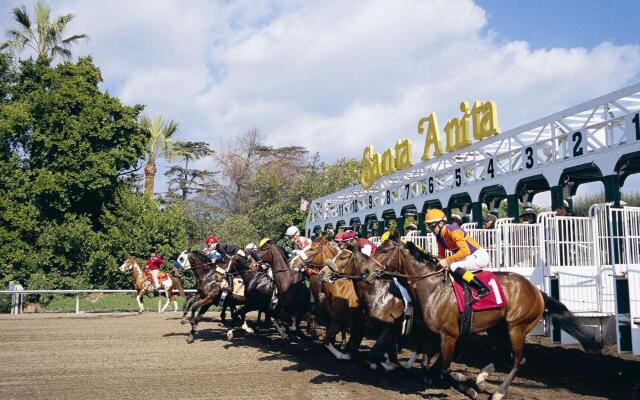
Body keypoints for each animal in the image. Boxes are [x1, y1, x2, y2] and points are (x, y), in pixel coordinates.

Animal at [372, 234, 604, 400]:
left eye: (384, 249)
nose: (367, 270)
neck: (433, 288)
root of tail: (537, 291)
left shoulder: (449, 336)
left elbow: (444, 370)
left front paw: (465, 387)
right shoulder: (432, 335)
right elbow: (428, 366)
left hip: (516, 327)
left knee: (518, 359)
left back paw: (499, 391)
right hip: (497, 328)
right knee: (503, 356)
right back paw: (482, 380)